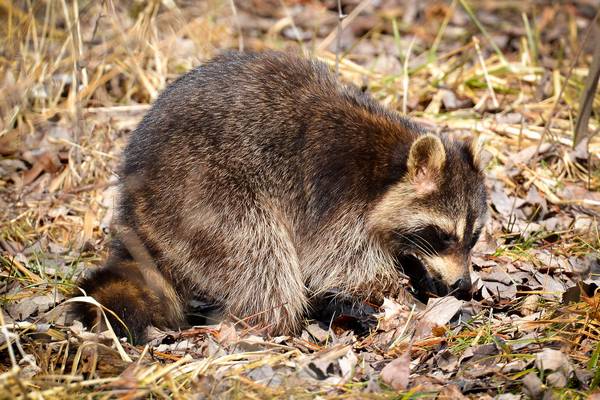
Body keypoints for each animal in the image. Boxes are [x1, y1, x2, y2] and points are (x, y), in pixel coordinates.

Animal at [75, 50, 488, 344]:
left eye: (473, 237)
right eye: (443, 235)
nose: (463, 286)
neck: (388, 164)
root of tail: (131, 205)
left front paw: (417, 271)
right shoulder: (338, 203)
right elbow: (341, 265)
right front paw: (387, 292)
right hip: (198, 193)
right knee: (260, 255)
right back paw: (290, 316)